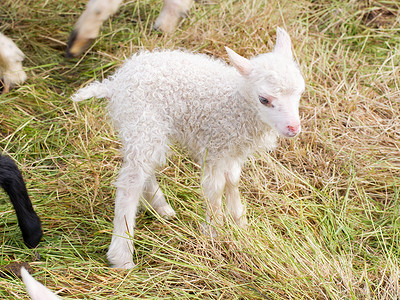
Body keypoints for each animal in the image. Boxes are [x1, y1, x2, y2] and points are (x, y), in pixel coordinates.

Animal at [72, 27, 304, 268]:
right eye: (264, 99)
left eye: (299, 93)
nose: (293, 128)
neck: (237, 101)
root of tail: (114, 82)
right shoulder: (215, 147)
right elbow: (215, 188)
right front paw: (214, 231)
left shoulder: (231, 150)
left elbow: (232, 181)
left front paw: (240, 224)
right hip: (143, 122)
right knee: (131, 182)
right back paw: (122, 256)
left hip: (142, 129)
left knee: (144, 170)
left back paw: (161, 208)